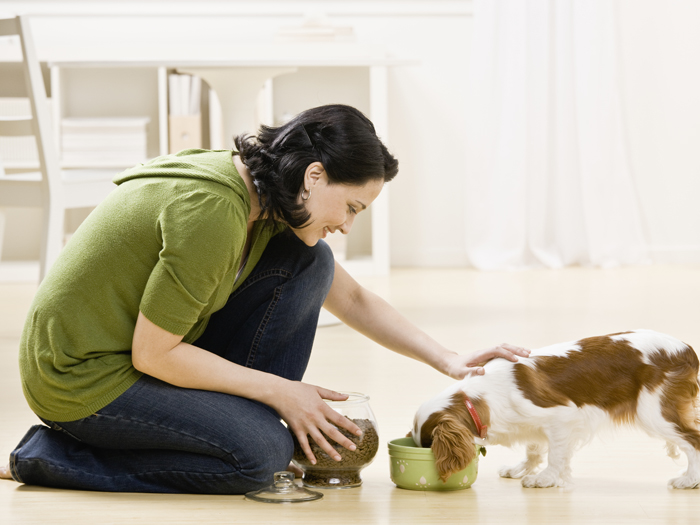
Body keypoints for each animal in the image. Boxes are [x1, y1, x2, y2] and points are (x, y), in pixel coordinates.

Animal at [410, 330, 700, 490]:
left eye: (429, 445)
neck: (480, 397)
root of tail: (686, 349)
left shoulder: (563, 417)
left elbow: (556, 455)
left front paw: (545, 479)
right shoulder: (535, 423)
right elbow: (534, 448)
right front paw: (521, 469)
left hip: (654, 414)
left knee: (693, 440)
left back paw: (689, 480)